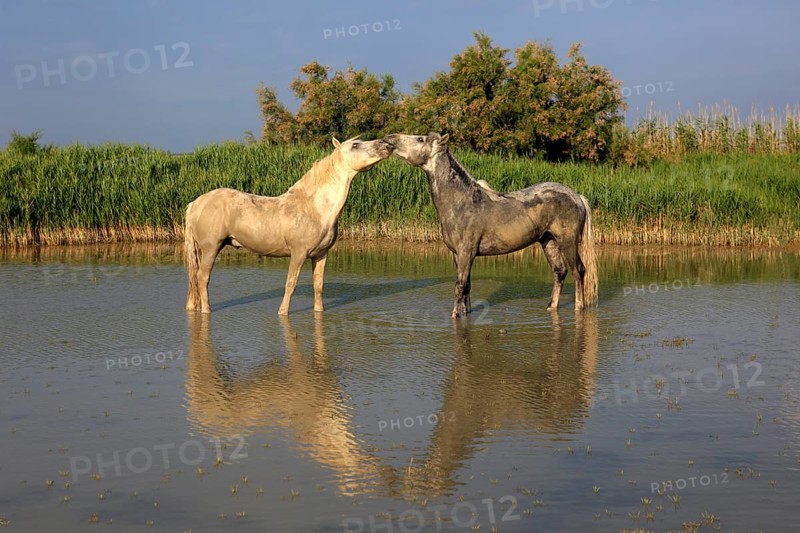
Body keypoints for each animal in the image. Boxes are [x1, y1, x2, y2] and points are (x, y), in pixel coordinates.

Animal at [184, 136, 393, 314]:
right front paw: (282, 313)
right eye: (355, 145)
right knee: (202, 278)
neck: (314, 208)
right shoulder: (299, 253)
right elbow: (291, 284)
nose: (387, 145)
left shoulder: (320, 255)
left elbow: (318, 286)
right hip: (211, 248)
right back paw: (207, 310)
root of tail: (196, 203)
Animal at [384, 132, 598, 317]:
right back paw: (551, 307)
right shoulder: (458, 254)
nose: (389, 138)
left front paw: (454, 315)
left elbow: (459, 285)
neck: (462, 203)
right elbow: (466, 287)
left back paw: (578, 307)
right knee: (559, 271)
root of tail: (576, 196)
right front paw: (465, 313)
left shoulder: (466, 252)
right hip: (549, 241)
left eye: (420, 139)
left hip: (568, 242)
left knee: (578, 271)